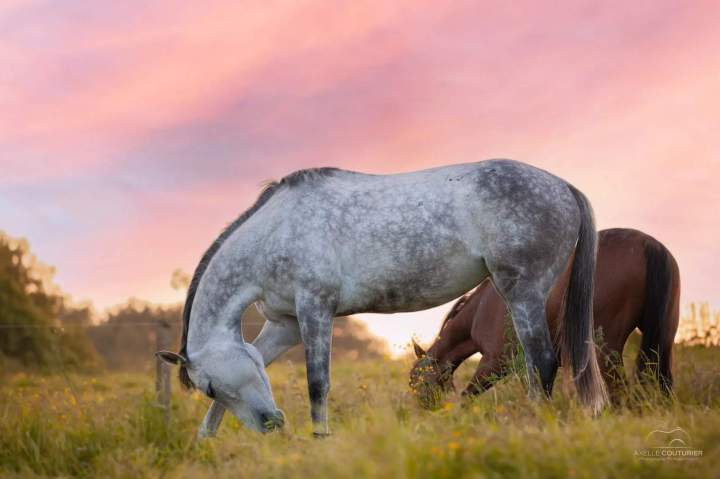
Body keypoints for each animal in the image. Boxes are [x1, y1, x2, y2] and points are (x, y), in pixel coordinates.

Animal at [156, 159, 608, 437]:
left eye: (208, 387)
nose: (271, 423)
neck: (274, 233)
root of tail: (562, 187)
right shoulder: (285, 325)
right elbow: (262, 363)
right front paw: (204, 442)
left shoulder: (315, 310)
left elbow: (317, 384)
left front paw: (321, 439)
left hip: (523, 292)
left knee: (542, 362)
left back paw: (534, 421)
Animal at [409, 228, 680, 408]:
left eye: (417, 381)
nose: (422, 413)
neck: (481, 306)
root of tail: (647, 244)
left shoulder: (494, 362)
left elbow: (467, 398)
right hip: (663, 340)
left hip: (605, 350)